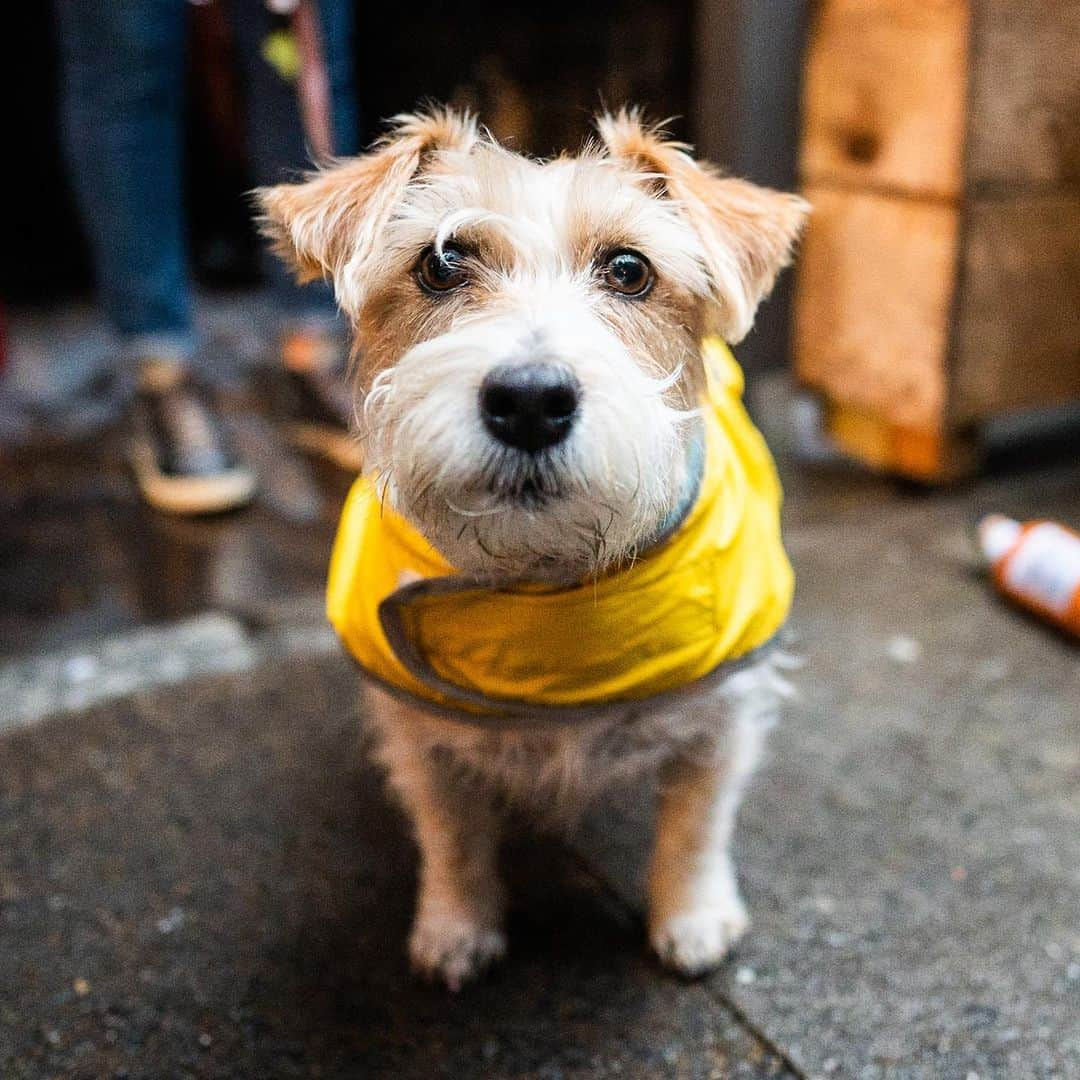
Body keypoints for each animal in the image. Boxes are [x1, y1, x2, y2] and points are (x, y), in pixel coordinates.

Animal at [257, 107, 807, 989]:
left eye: (629, 270)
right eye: (442, 264)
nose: (529, 399)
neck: (546, 584)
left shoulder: (721, 714)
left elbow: (695, 825)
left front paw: (691, 918)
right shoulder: (421, 737)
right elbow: (452, 838)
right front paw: (456, 927)